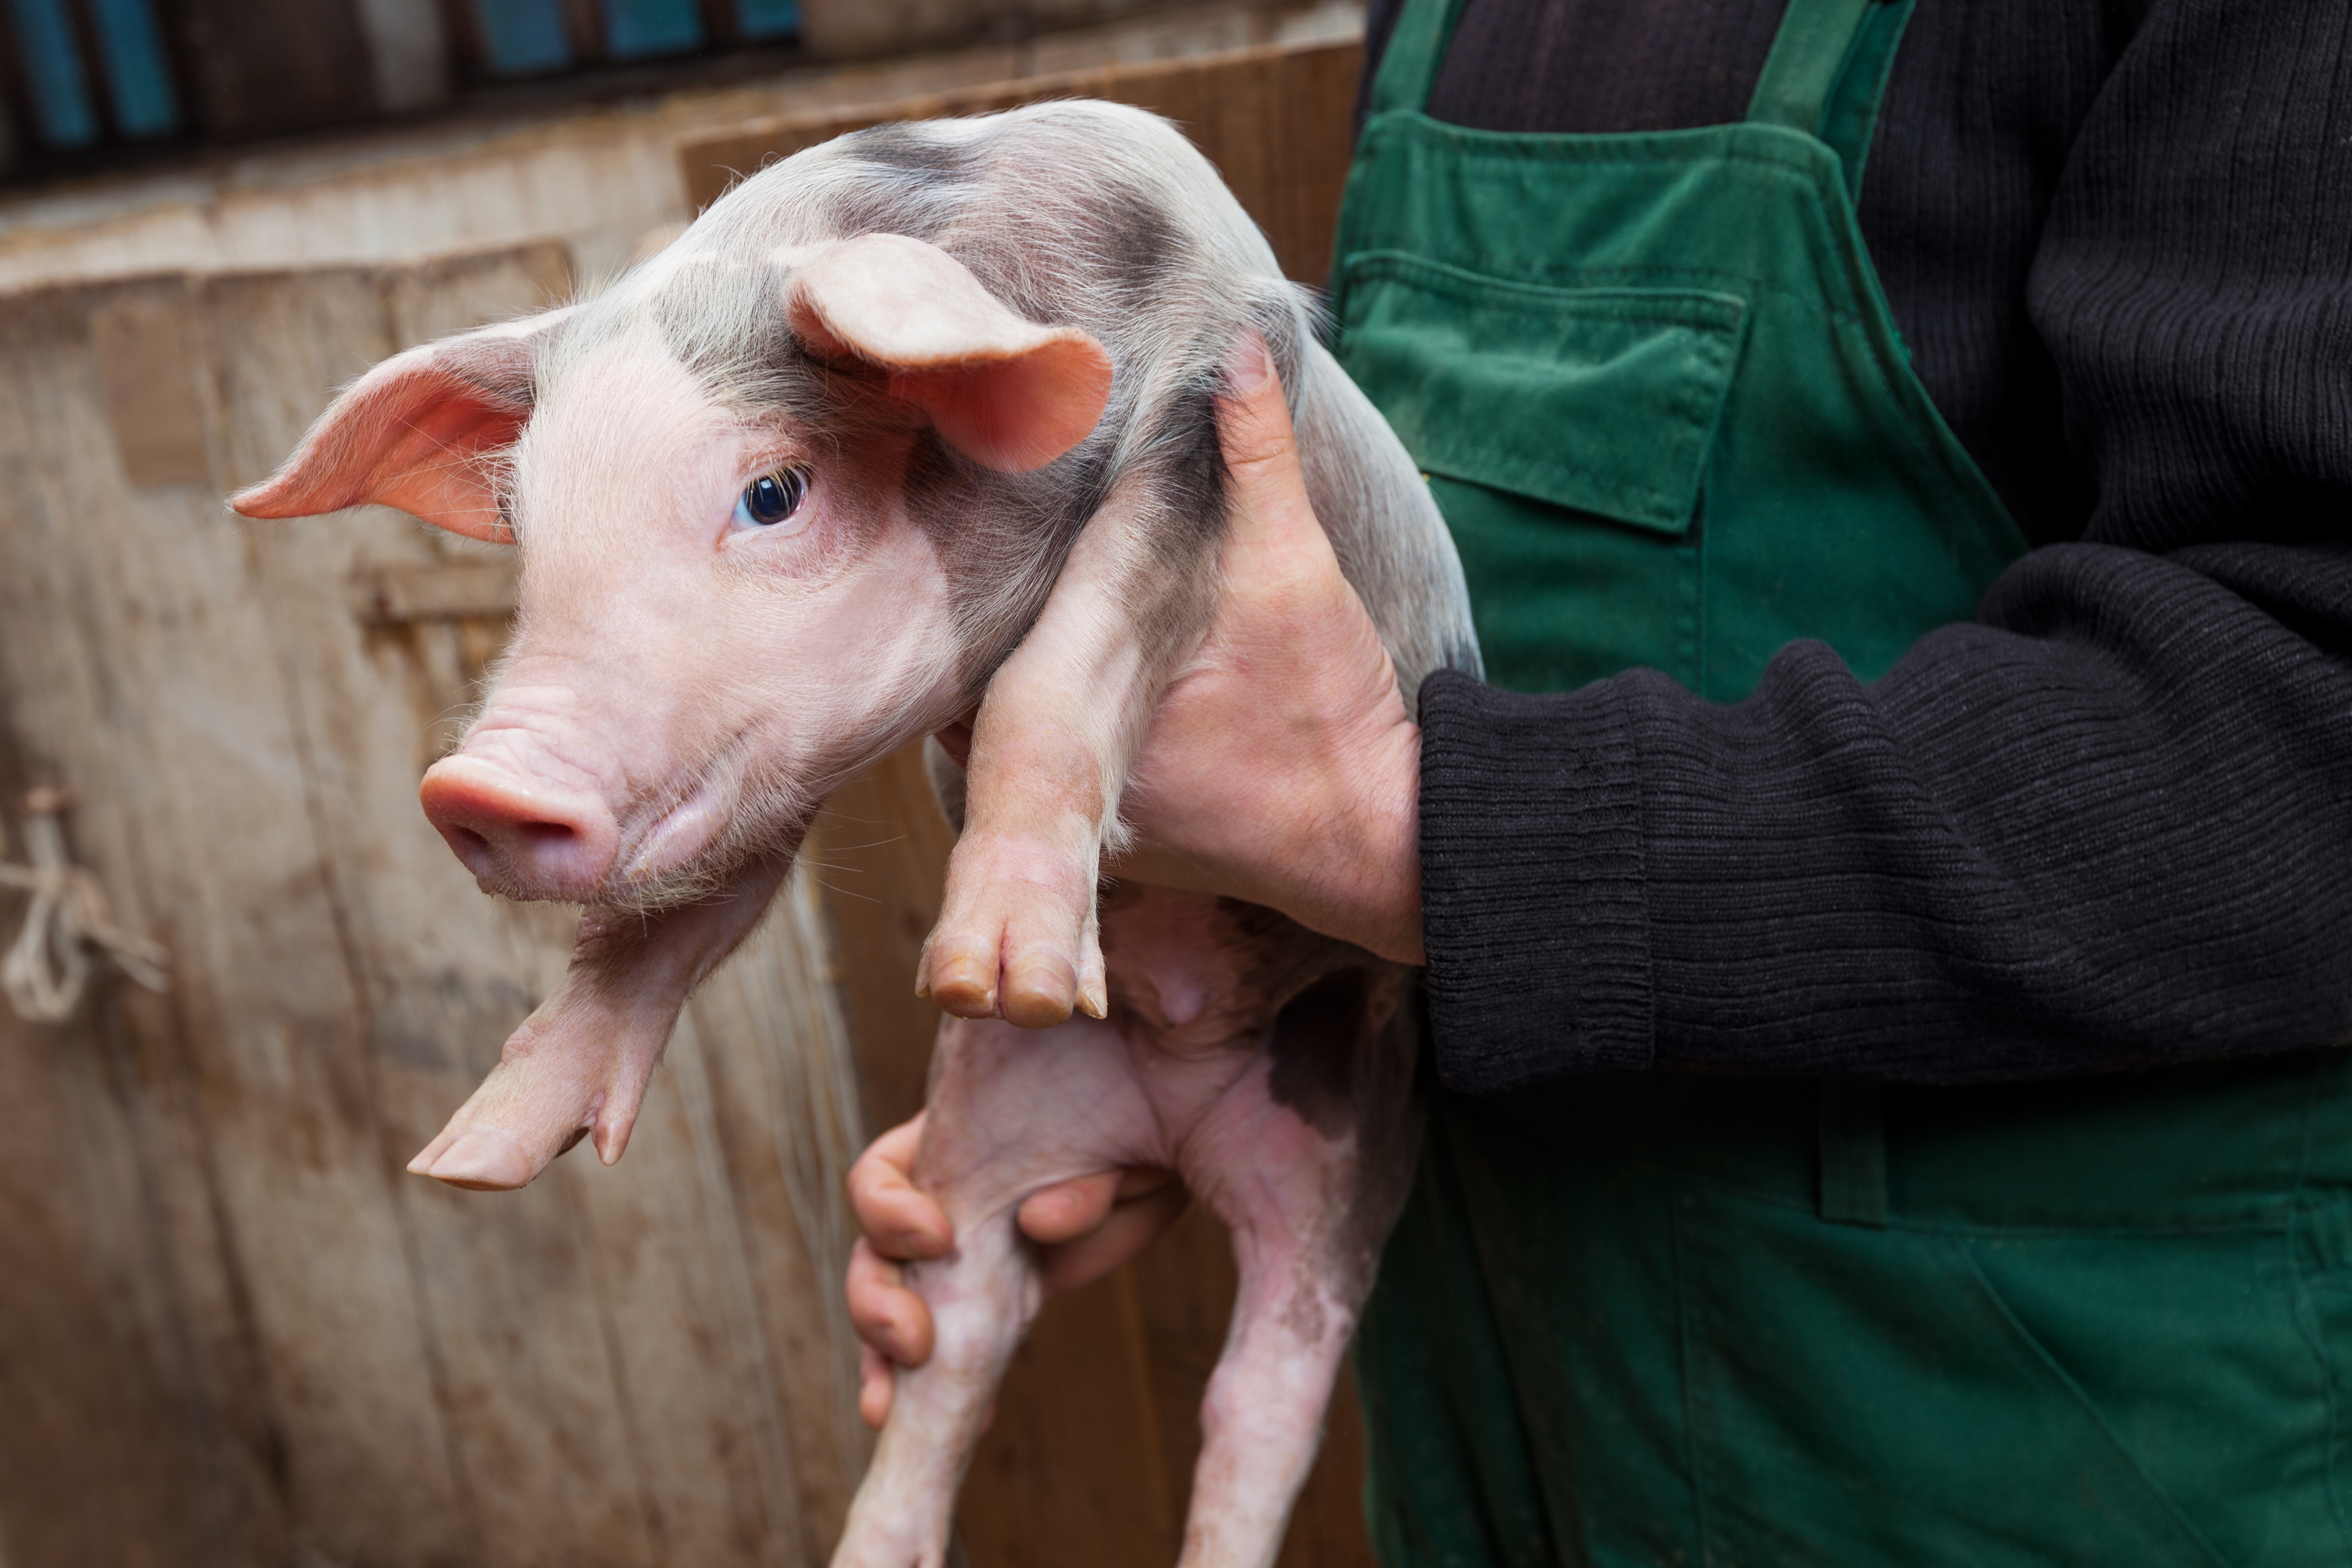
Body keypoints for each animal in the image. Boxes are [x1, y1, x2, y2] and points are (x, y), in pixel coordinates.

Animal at [232, 100, 1479, 1568]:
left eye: (773, 491)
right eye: (525, 526)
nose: (475, 784)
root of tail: (1173, 1098)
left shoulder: (1204, 423)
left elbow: (1064, 662)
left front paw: (996, 972)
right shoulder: (762, 755)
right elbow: (688, 906)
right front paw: (467, 1160)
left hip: (1340, 1147)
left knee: (1264, 1392)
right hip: (998, 1126)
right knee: (962, 1339)